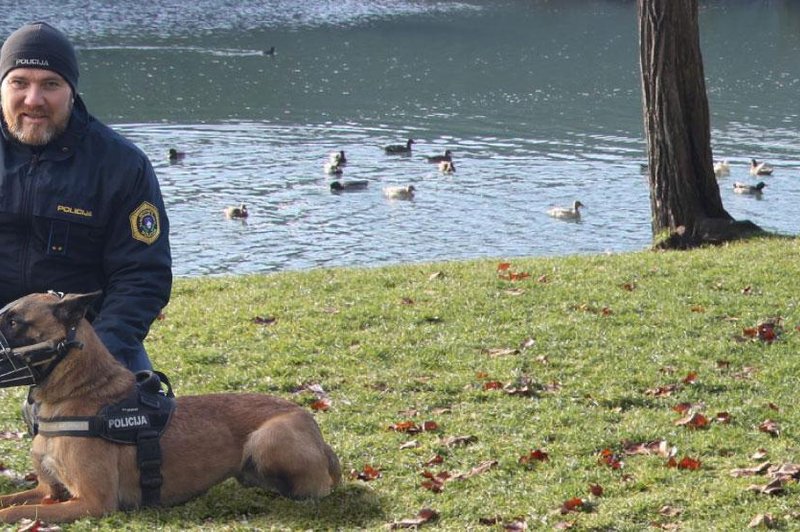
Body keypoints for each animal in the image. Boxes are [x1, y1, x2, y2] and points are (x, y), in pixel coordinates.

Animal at [0, 288, 340, 520]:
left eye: (13, 321)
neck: (76, 391)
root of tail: (317, 434)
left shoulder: (93, 502)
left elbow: (18, 512)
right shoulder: (47, 490)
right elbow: (12, 502)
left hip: (267, 438)